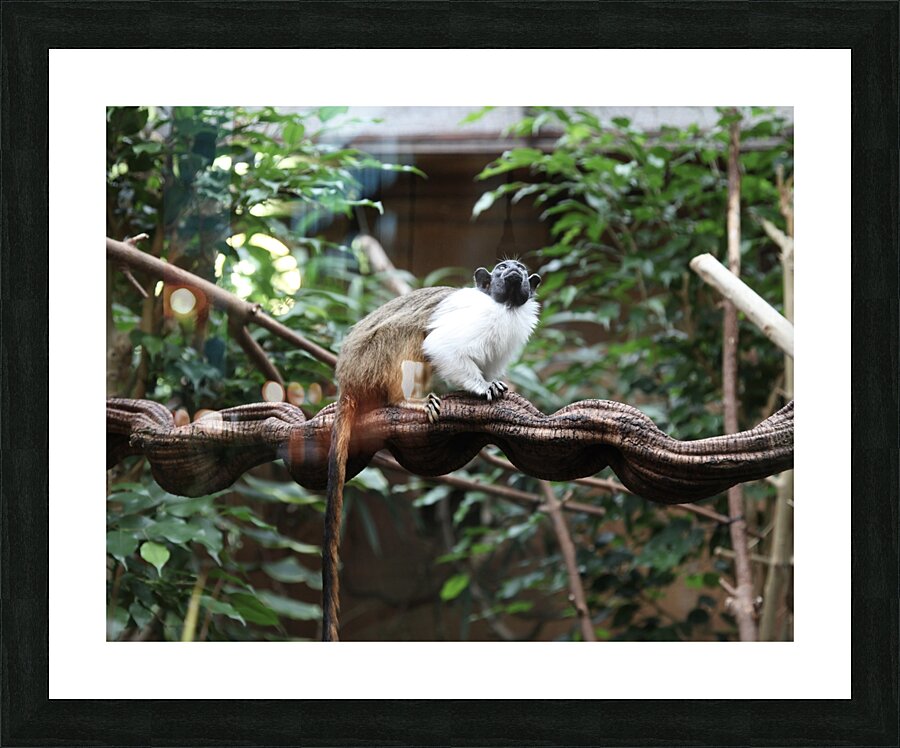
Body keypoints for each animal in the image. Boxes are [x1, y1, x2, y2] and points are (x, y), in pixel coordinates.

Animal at [322, 260, 541, 641]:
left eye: (520, 270)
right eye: (502, 268)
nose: (511, 270)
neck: (505, 309)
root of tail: (346, 378)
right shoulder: (476, 317)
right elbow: (442, 346)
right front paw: (480, 387)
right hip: (372, 360)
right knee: (411, 334)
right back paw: (403, 401)